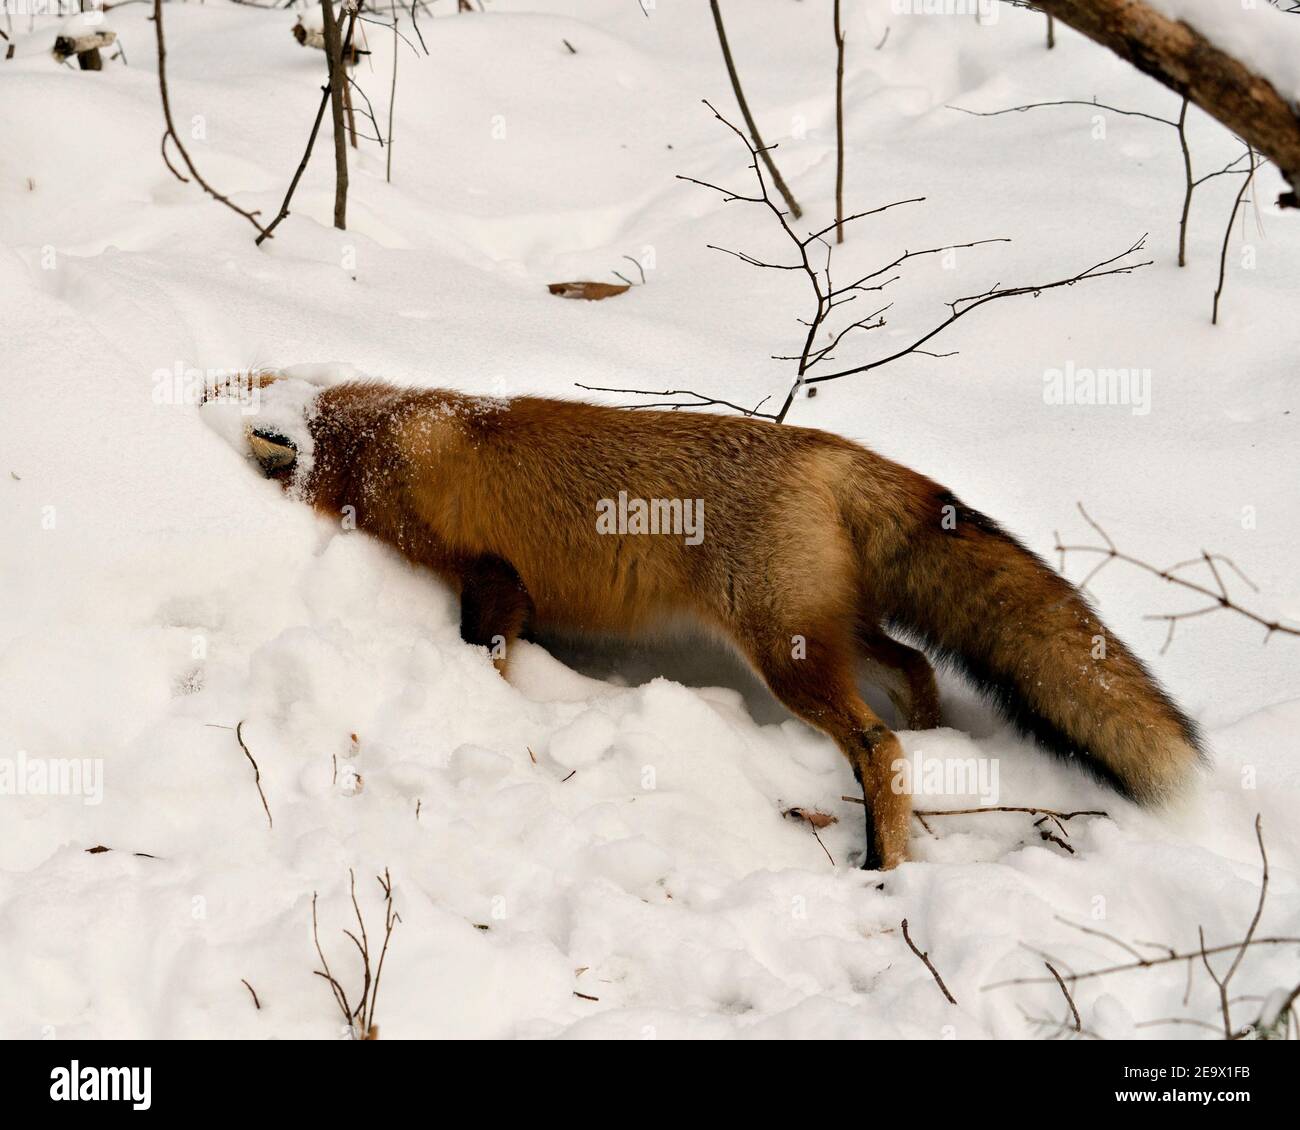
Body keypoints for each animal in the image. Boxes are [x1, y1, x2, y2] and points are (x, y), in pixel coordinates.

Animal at [217, 374, 1204, 870]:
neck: (369, 439)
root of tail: (827, 450)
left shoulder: (490, 575)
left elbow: (485, 650)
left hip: (785, 653)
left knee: (876, 744)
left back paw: (883, 866)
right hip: (827, 630)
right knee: (916, 675)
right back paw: (936, 754)